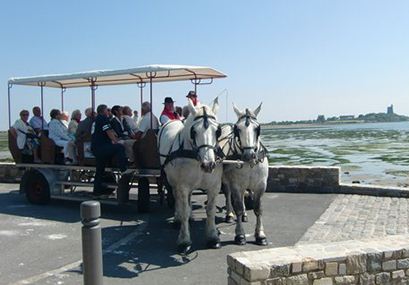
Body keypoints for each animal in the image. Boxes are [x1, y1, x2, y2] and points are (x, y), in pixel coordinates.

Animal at [159, 98, 223, 253]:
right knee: (177, 198)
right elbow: (184, 210)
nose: (208, 165)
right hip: (172, 181)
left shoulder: (214, 186)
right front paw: (184, 241)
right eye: (194, 131)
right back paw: (177, 219)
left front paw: (213, 238)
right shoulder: (182, 185)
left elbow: (210, 210)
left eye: (218, 131)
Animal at [220, 103, 268, 245]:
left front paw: (260, 235)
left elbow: (258, 209)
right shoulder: (236, 185)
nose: (249, 155)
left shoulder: (260, 186)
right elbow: (238, 208)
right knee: (228, 195)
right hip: (227, 181)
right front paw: (240, 235)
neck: (250, 164)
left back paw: (245, 215)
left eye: (257, 128)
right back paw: (229, 215)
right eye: (238, 129)